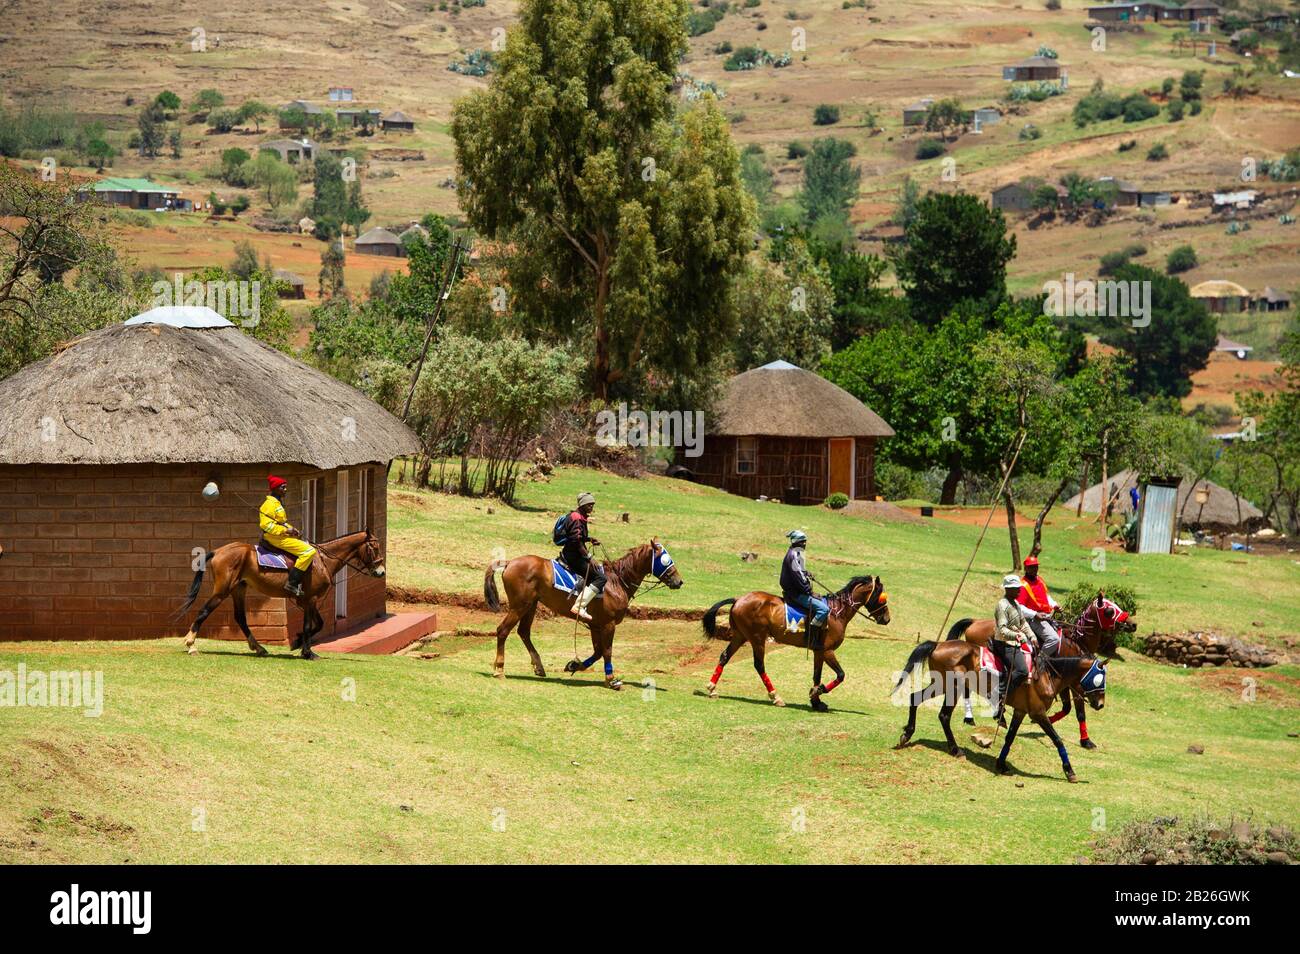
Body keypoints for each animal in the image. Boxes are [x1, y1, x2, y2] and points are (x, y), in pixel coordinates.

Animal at [176, 535, 384, 660]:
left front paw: (298, 643)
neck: (322, 560)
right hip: (222, 591)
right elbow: (309, 626)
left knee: (240, 618)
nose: (381, 571)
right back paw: (191, 644)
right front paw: (307, 651)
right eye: (374, 548)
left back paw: (259, 648)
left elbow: (319, 624)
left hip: (238, 589)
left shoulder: (307, 601)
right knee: (204, 612)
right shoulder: (310, 600)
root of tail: (219, 551)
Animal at [483, 540, 686, 691]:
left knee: (524, 632)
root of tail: (510, 562)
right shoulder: (608, 624)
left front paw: (574, 666)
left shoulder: (596, 625)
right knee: (503, 630)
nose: (679, 581)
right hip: (519, 606)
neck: (616, 581)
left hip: (530, 605)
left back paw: (538, 666)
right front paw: (611, 679)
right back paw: (499, 669)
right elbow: (607, 651)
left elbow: (597, 652)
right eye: (665, 560)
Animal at [696, 574, 889, 712]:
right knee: (759, 665)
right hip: (757, 638)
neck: (836, 613)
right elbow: (841, 675)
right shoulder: (827, 651)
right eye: (882, 597)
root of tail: (738, 599)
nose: (887, 619)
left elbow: (816, 676)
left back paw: (712, 688)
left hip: (740, 636)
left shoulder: (819, 652)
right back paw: (775, 696)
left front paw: (816, 701)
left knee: (724, 657)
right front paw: (818, 692)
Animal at [894, 639, 1107, 779]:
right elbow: (1057, 740)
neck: (1047, 675)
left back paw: (908, 733)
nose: (1100, 704)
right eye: (1099, 679)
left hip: (941, 685)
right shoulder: (1038, 713)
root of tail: (938, 644)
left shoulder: (1021, 711)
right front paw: (1069, 770)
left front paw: (1001, 764)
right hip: (952, 687)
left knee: (915, 699)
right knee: (944, 715)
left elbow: (1010, 738)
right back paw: (955, 749)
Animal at [946, 597, 1128, 748]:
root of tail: (975, 621)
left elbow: (1067, 709)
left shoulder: (1066, 683)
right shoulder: (1073, 683)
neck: (1077, 642)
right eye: (1110, 610)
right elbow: (1078, 712)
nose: (1131, 623)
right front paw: (1086, 740)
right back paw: (981, 717)